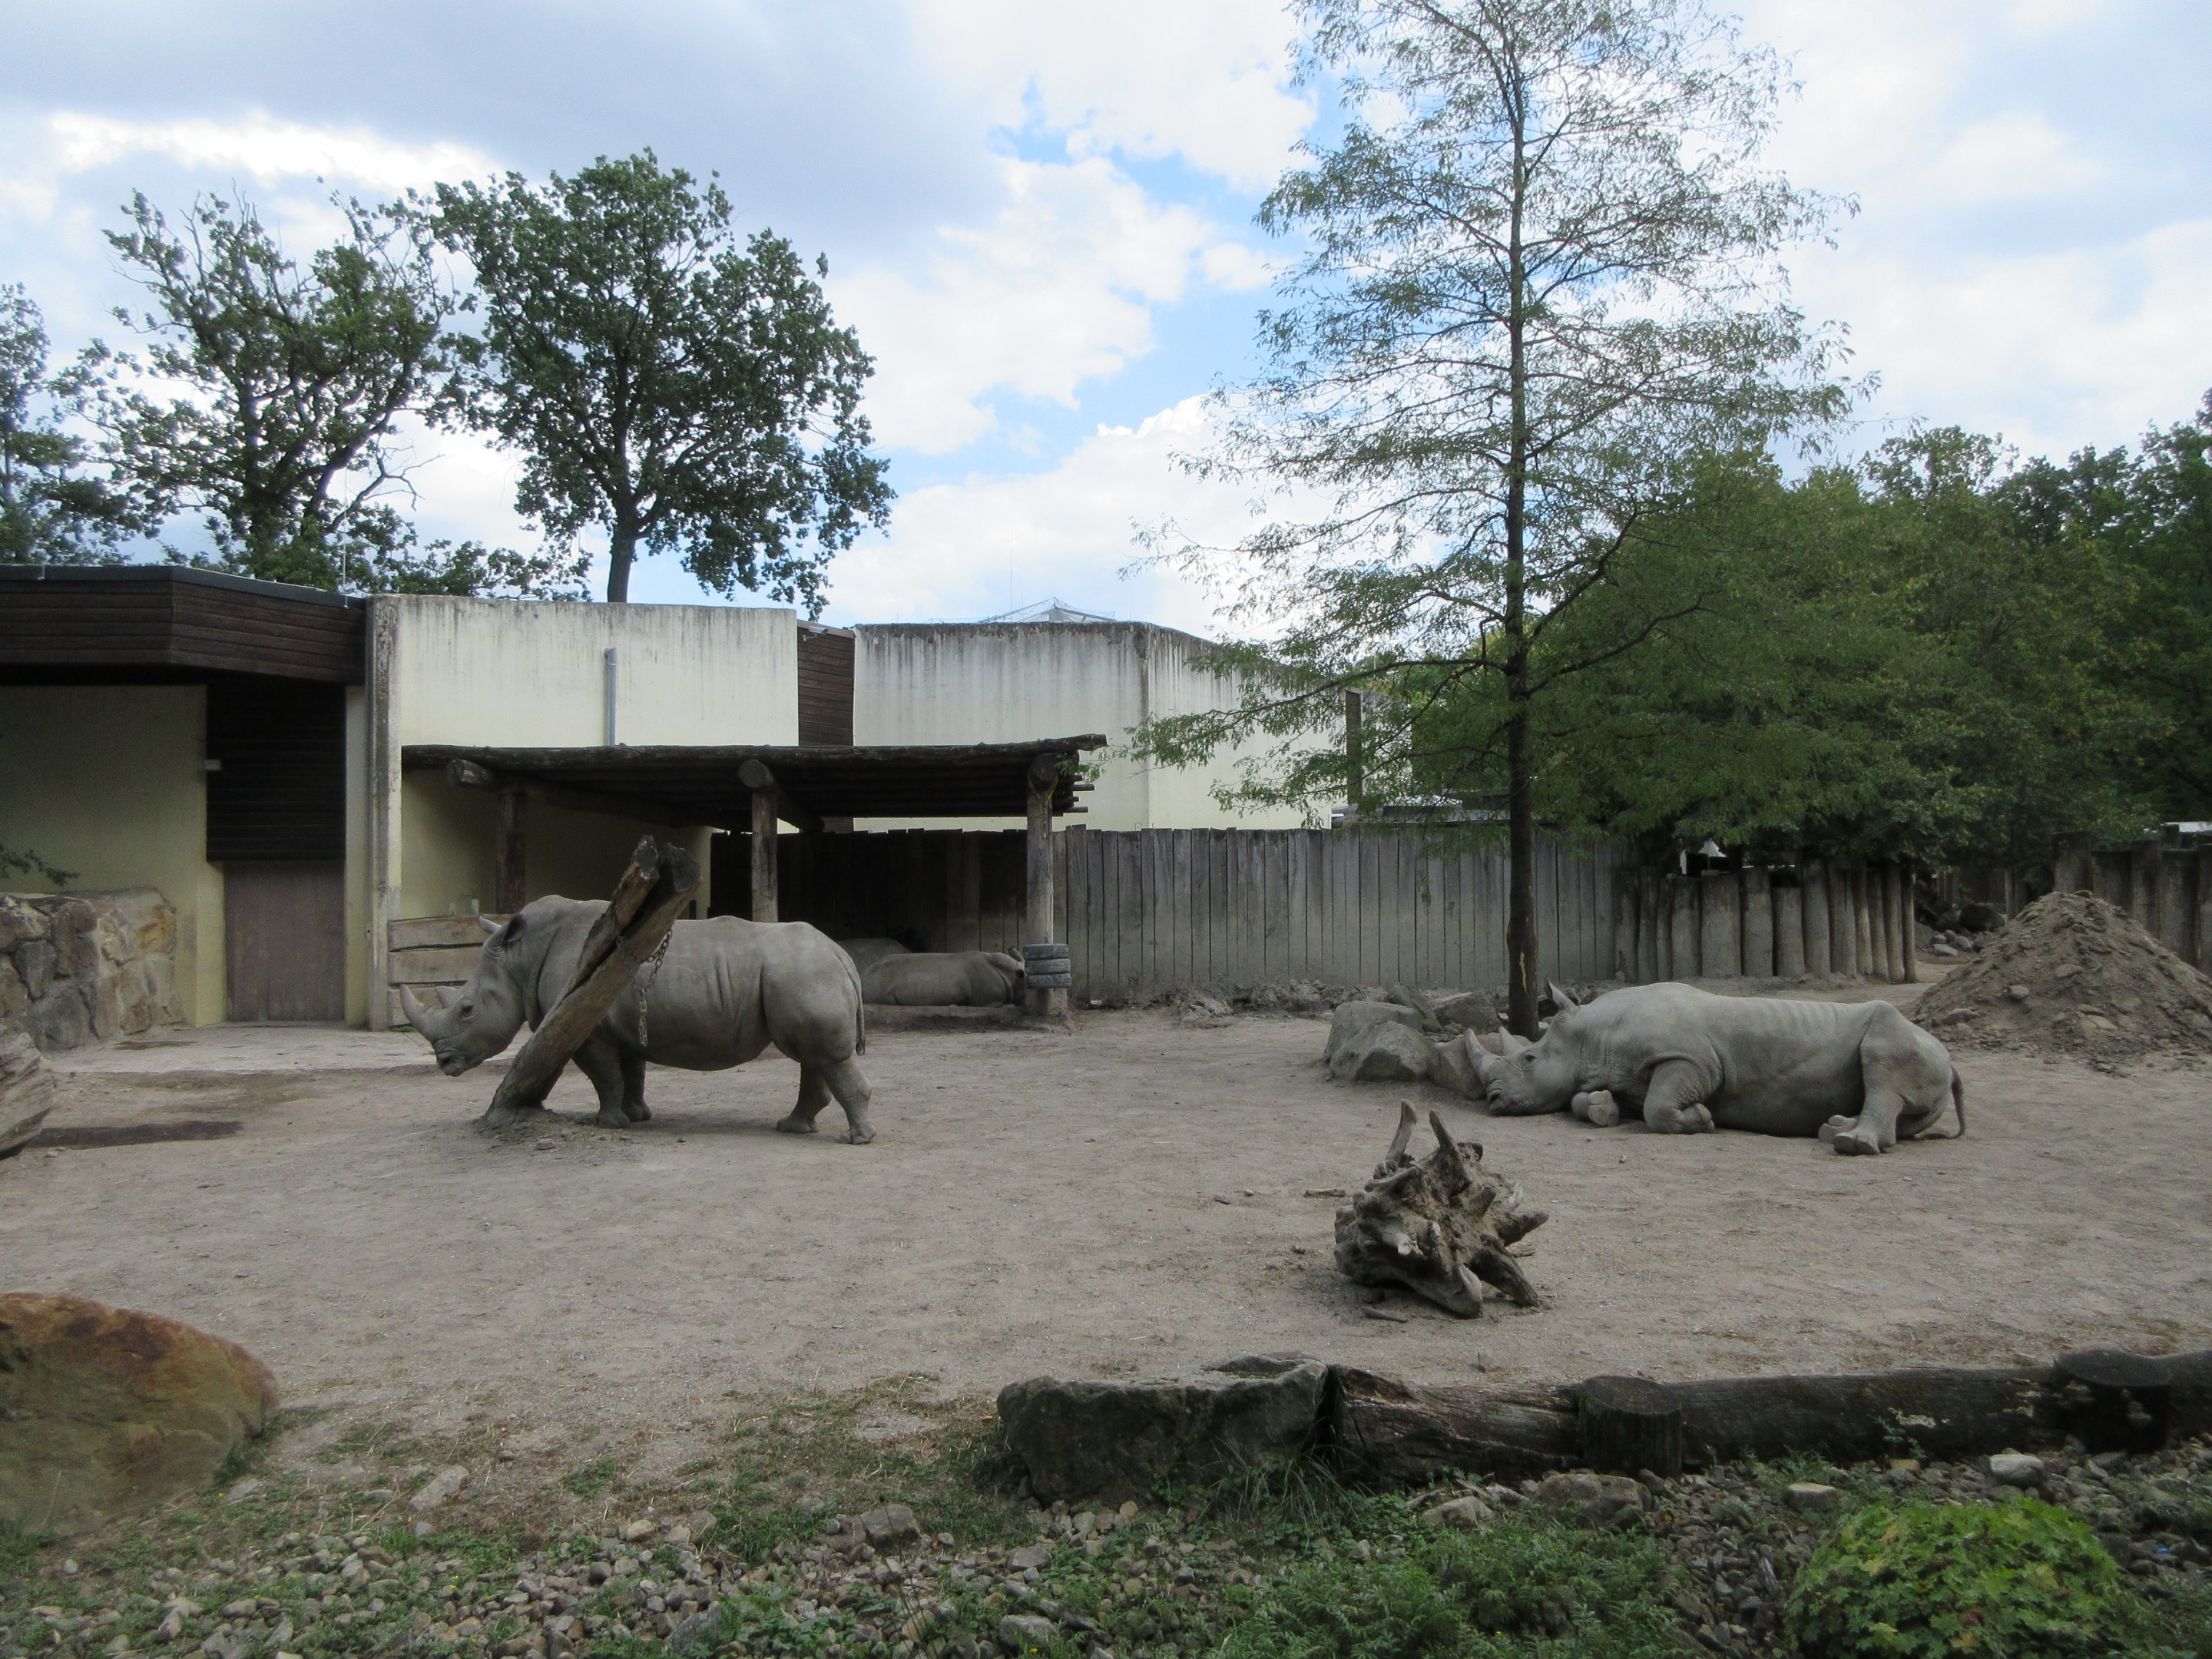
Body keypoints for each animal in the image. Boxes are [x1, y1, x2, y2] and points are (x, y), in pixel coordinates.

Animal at [400, 897, 876, 1142]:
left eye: (467, 1009)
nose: (444, 1063)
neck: (522, 958)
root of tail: (842, 955)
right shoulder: (621, 1026)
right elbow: (632, 1072)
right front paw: (638, 1116)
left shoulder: (587, 1027)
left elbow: (604, 1077)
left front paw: (609, 1123)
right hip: (803, 975)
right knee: (812, 1056)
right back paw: (793, 1127)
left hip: (804, 974)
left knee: (823, 1055)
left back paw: (855, 1140)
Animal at [1466, 981, 1963, 1155]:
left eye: (1529, 1059)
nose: (1492, 1099)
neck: (1593, 1035)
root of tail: (1952, 1060)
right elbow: (1581, 1098)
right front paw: (1603, 1110)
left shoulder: (1692, 1060)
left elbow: (1658, 1108)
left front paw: (1702, 1119)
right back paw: (1835, 1128)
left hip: (1905, 1038)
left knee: (1884, 1066)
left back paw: (1849, 1144)